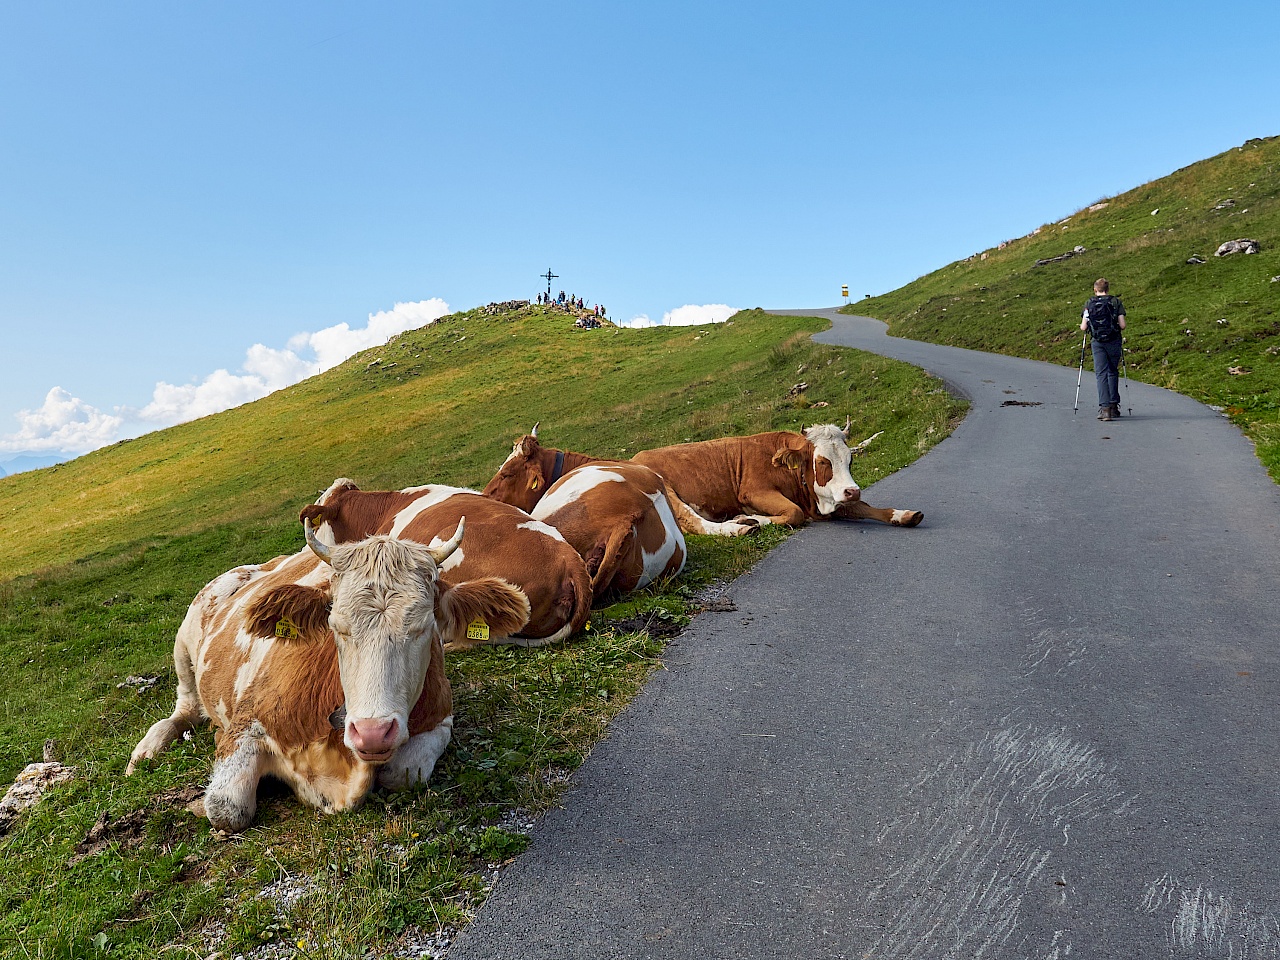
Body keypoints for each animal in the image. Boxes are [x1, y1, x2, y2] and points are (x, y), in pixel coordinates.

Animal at [127, 519, 527, 834]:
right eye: (336, 625)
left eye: (425, 626)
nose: (371, 732)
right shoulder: (248, 722)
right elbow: (226, 808)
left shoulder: (441, 718)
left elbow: (405, 772)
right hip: (184, 642)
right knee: (184, 708)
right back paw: (145, 751)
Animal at [629, 422, 921, 529]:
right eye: (822, 461)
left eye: (850, 459)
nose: (853, 490)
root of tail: (633, 458)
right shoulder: (754, 492)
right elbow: (794, 513)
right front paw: (751, 518)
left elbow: (867, 507)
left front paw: (904, 514)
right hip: (666, 491)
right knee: (694, 522)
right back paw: (741, 527)